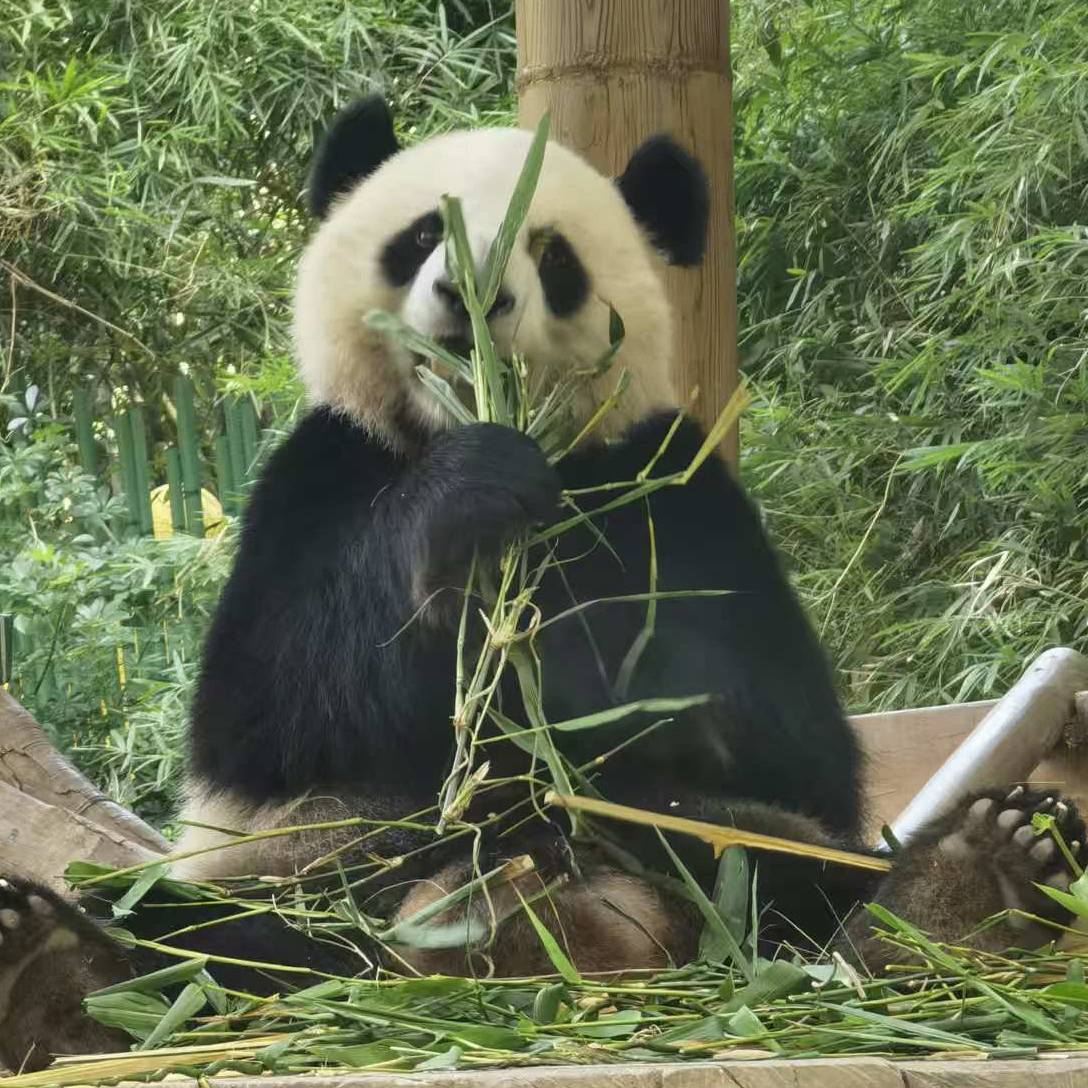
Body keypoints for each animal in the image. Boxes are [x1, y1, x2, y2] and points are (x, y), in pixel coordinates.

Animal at [0, 95, 1083, 1072]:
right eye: (420, 233)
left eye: (553, 255)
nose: (471, 294)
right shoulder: (313, 480)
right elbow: (273, 713)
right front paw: (473, 514)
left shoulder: (684, 499)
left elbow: (791, 747)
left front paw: (582, 679)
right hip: (311, 868)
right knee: (214, 932)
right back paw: (58, 972)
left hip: (714, 862)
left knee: (789, 870)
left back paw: (967, 884)